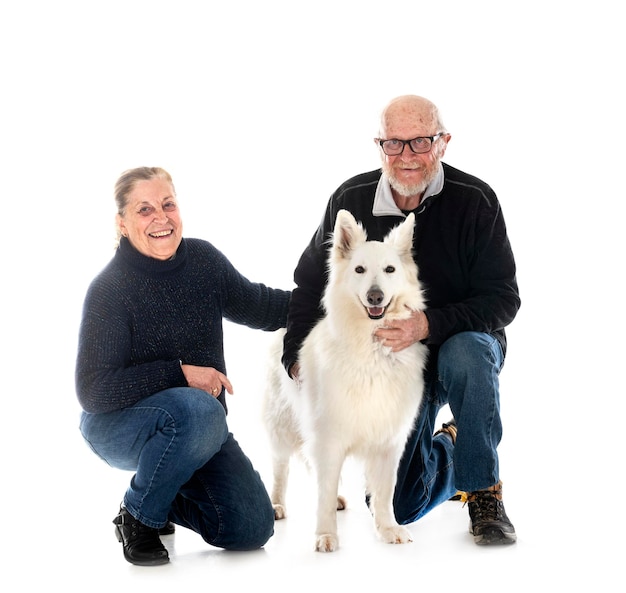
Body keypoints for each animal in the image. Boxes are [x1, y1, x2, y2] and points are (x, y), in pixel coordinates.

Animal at [260, 209, 426, 552]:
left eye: (390, 270)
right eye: (359, 270)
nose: (375, 296)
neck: (372, 348)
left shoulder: (389, 439)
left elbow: (385, 492)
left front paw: (388, 528)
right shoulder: (328, 435)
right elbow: (322, 489)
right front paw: (326, 535)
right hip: (282, 425)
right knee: (281, 467)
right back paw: (277, 504)